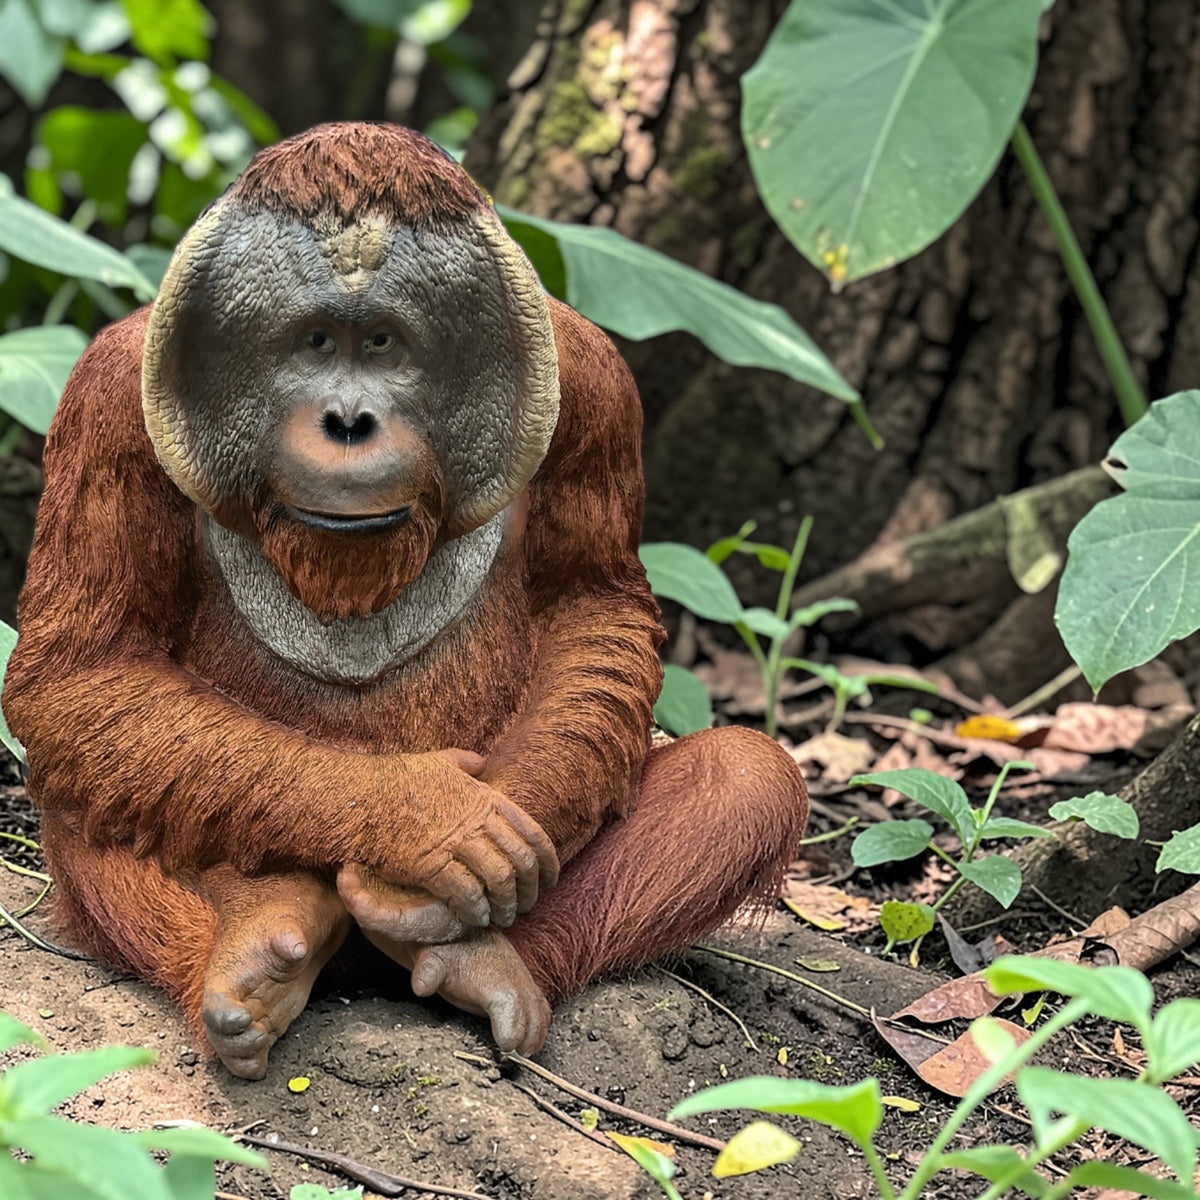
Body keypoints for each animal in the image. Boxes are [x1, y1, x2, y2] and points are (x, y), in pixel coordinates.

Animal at [3, 122, 808, 1079]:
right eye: (314, 342)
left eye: (385, 342)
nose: (349, 422)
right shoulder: (107, 399)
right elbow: (78, 673)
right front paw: (430, 818)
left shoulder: (594, 380)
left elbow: (594, 607)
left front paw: (484, 832)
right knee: (75, 779)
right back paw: (262, 939)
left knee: (746, 774)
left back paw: (469, 957)